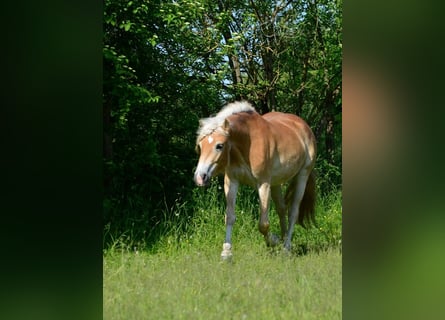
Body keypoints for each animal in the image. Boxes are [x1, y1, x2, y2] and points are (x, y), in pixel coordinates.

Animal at [193, 101, 316, 258]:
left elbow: (263, 224)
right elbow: (229, 217)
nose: (200, 177)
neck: (248, 144)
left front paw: (273, 240)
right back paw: (283, 240)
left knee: (293, 212)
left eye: (219, 146)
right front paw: (227, 252)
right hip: (276, 183)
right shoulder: (231, 182)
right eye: (200, 146)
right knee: (282, 209)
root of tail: (304, 127)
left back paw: (286, 247)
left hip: (302, 176)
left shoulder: (263, 184)